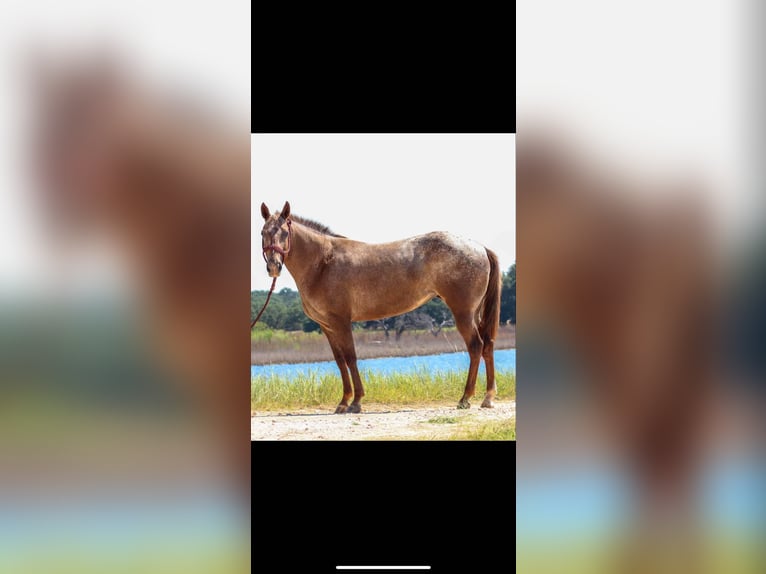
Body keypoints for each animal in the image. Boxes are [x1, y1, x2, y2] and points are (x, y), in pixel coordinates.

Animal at [259, 201, 502, 414]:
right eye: (263, 232)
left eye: (284, 232)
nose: (273, 266)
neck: (323, 263)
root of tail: (479, 247)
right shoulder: (326, 326)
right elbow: (339, 361)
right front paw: (344, 402)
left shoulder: (341, 322)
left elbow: (350, 357)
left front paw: (356, 401)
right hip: (475, 313)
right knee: (487, 345)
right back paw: (487, 397)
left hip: (463, 313)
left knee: (475, 346)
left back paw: (465, 398)